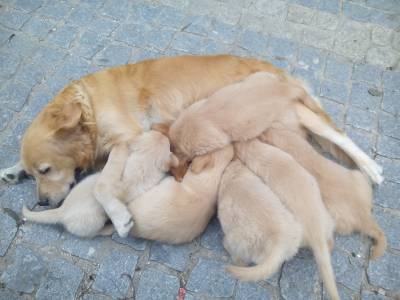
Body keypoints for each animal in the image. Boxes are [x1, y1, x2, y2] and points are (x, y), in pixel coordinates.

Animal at [22, 130, 178, 238]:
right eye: (169, 145)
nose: (163, 133)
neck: (140, 165)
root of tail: (61, 211)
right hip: (94, 223)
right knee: (98, 233)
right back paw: (110, 229)